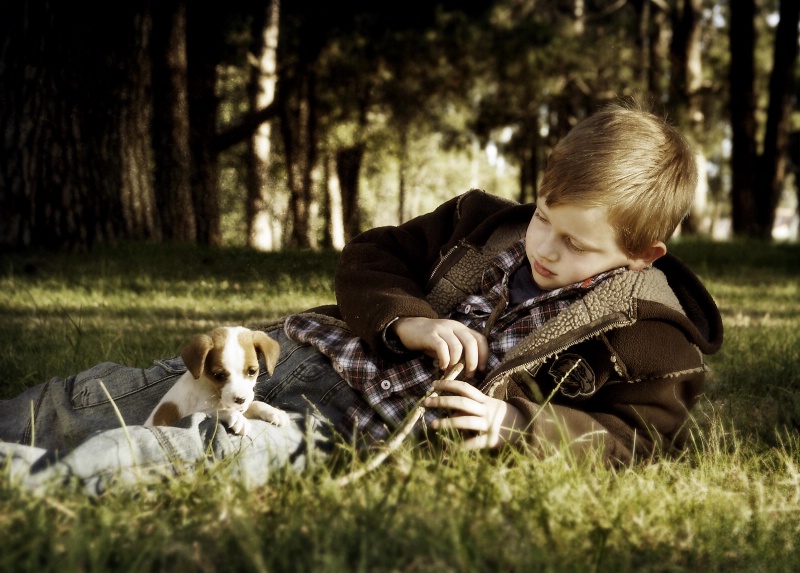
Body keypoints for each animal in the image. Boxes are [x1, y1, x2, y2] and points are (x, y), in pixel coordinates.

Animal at [145, 328, 290, 436]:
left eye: (252, 371)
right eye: (219, 375)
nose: (240, 400)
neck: (212, 389)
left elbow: (255, 404)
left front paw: (274, 412)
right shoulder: (194, 412)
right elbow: (218, 411)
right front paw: (237, 418)